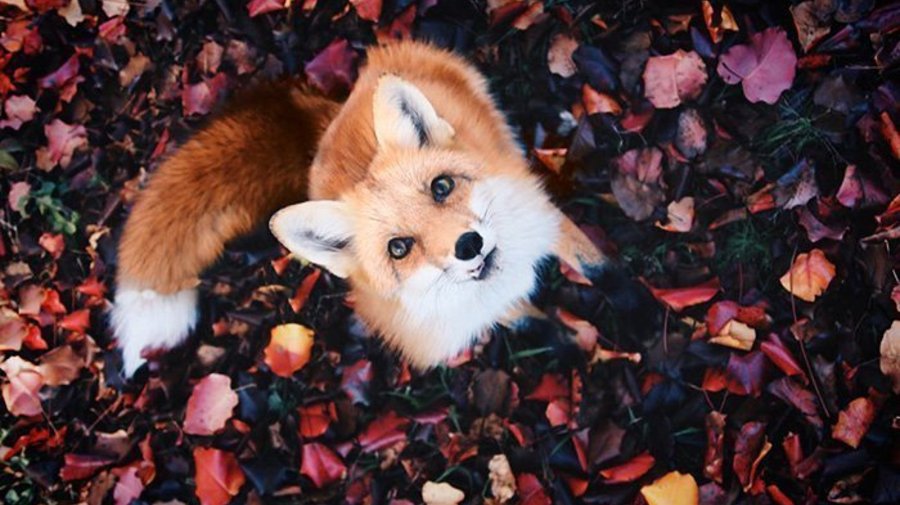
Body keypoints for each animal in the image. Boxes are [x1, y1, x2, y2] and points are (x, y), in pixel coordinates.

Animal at [112, 40, 632, 377]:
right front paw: (569, 351)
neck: (499, 278)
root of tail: (333, 117)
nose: (469, 245)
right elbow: (533, 325)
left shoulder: (549, 219)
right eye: (399, 248)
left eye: (441, 187)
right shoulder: (484, 311)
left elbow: (601, 270)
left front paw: (636, 311)